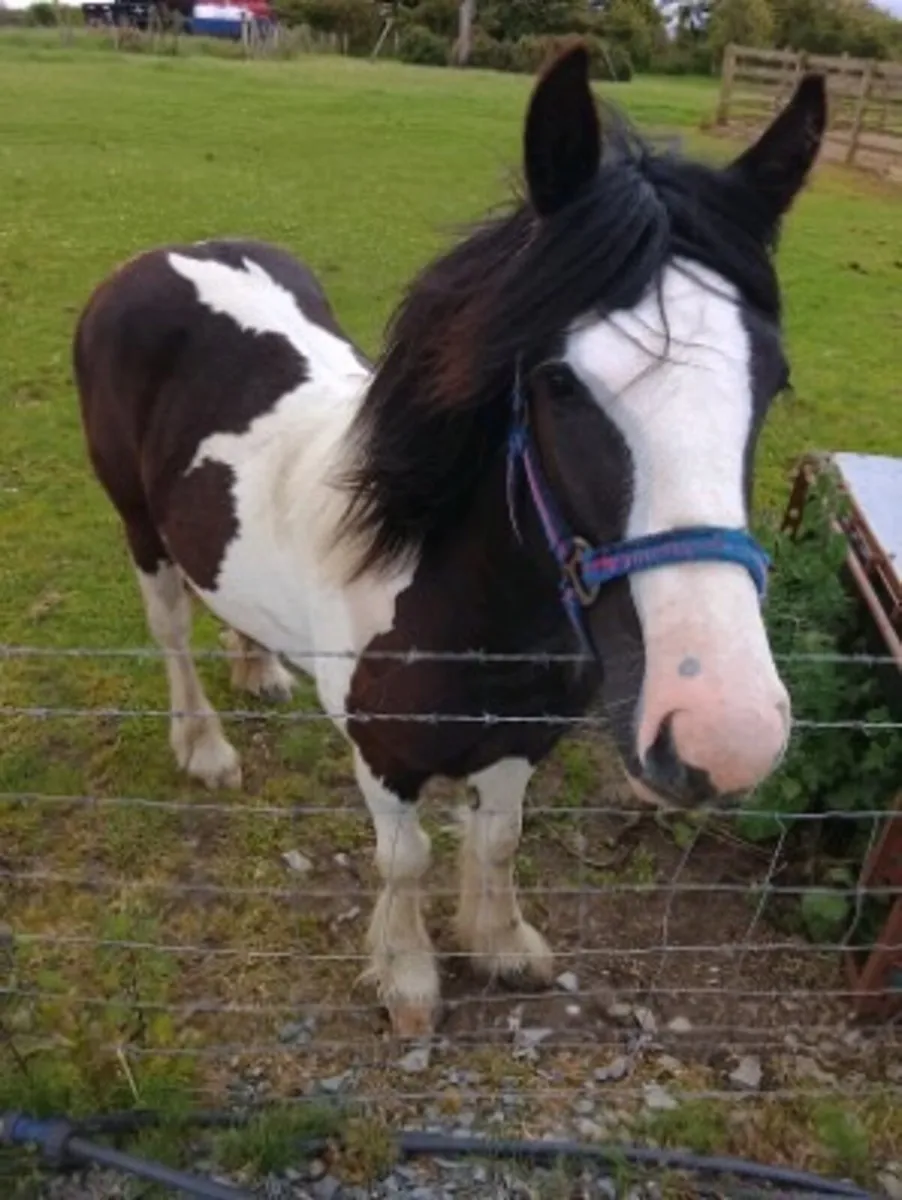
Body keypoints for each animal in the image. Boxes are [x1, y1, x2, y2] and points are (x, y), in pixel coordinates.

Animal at [73, 43, 827, 1037]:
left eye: (774, 377)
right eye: (558, 382)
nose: (724, 732)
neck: (452, 596)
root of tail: (159, 259)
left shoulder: (521, 744)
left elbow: (499, 842)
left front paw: (499, 943)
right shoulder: (383, 757)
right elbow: (407, 861)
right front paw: (407, 974)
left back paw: (259, 665)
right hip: (138, 528)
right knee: (170, 633)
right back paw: (204, 747)